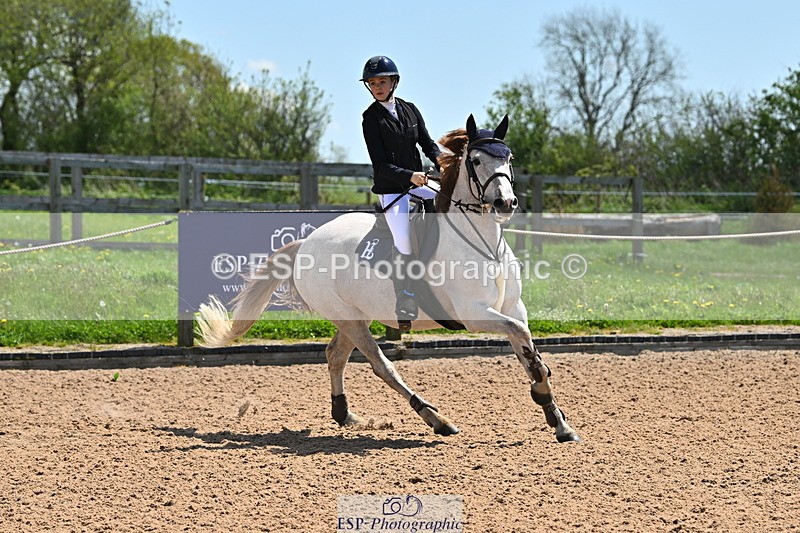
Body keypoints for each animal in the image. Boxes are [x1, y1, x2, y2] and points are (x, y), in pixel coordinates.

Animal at [197, 115, 581, 443]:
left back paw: (345, 415)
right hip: (349, 319)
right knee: (381, 366)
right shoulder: (474, 314)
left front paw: (559, 421)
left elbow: (528, 350)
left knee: (335, 355)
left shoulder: (513, 308)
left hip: (355, 315)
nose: (505, 203)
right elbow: (521, 340)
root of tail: (307, 242)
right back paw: (436, 419)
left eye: (508, 157)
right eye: (475, 160)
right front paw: (545, 398)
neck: (483, 242)